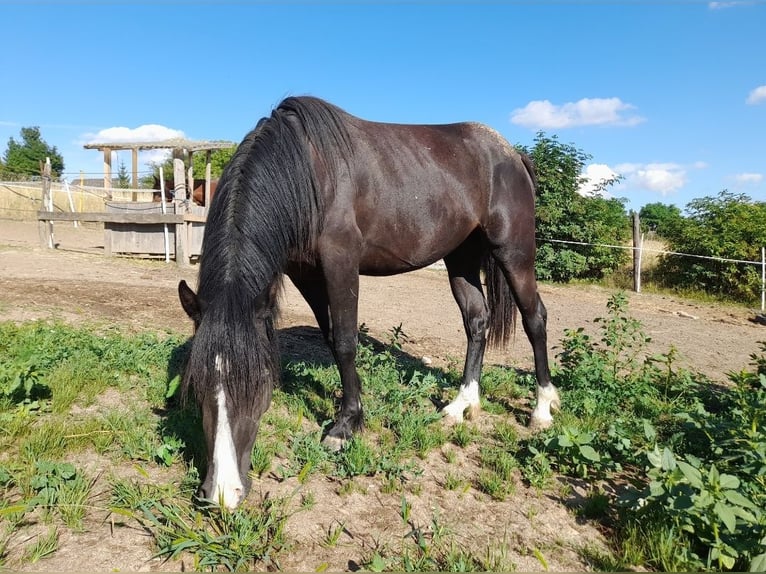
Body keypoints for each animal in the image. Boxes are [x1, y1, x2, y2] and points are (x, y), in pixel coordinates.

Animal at [181, 97, 564, 510]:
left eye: (260, 381)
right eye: (197, 382)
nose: (222, 493)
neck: (306, 172)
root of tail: (512, 154)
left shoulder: (341, 261)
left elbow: (346, 341)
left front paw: (345, 425)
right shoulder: (305, 272)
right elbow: (332, 337)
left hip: (514, 253)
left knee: (535, 318)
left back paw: (542, 409)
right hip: (461, 256)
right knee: (477, 320)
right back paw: (461, 403)